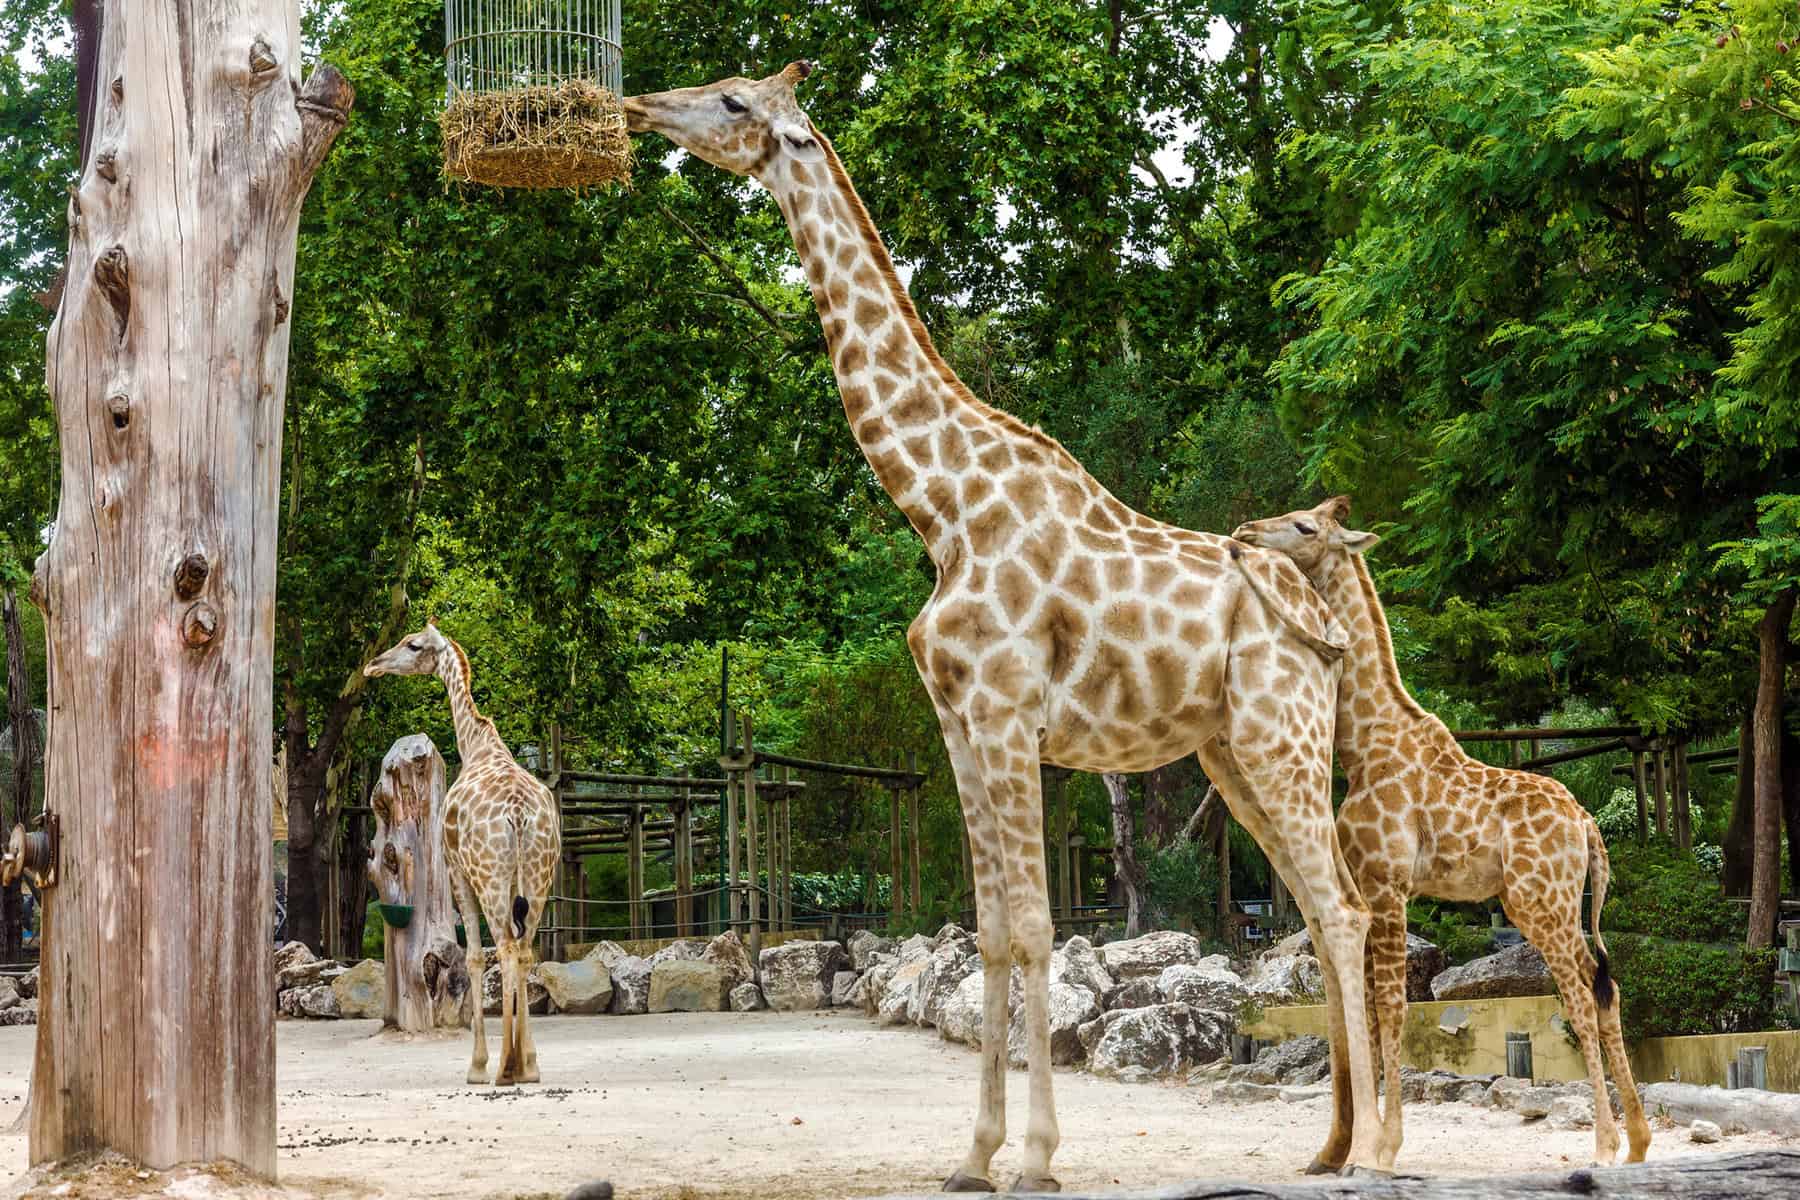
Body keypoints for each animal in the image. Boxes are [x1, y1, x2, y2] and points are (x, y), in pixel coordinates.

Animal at [364, 621, 560, 1087]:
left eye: (412, 645)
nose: (372, 665)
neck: (476, 745)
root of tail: (518, 815)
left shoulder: (456, 872)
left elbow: (471, 957)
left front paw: (479, 1065)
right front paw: (528, 1063)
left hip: (489, 877)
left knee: (504, 948)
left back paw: (503, 1069)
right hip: (540, 875)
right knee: (525, 950)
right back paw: (526, 1066)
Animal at [624, 63, 1390, 1186]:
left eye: (732, 103)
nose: (641, 107)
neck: (939, 504)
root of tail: (1320, 631)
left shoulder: (1005, 713)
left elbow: (1033, 927)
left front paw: (1034, 1154)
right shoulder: (956, 723)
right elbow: (987, 930)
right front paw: (973, 1154)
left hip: (1279, 741)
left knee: (1342, 907)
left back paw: (1373, 1146)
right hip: (1234, 756)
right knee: (1322, 904)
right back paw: (1329, 1145)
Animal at [1232, 497, 1652, 1171]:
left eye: (1303, 526)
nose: (1245, 532)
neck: (1363, 746)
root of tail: (1589, 826)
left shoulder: (1387, 884)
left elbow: (1392, 1006)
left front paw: (1382, 1149)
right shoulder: (1370, 885)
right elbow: (1373, 1008)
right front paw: (1376, 1142)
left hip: (1539, 901)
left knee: (1582, 993)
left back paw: (1605, 1145)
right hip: (1555, 903)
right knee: (1605, 986)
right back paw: (1638, 1141)